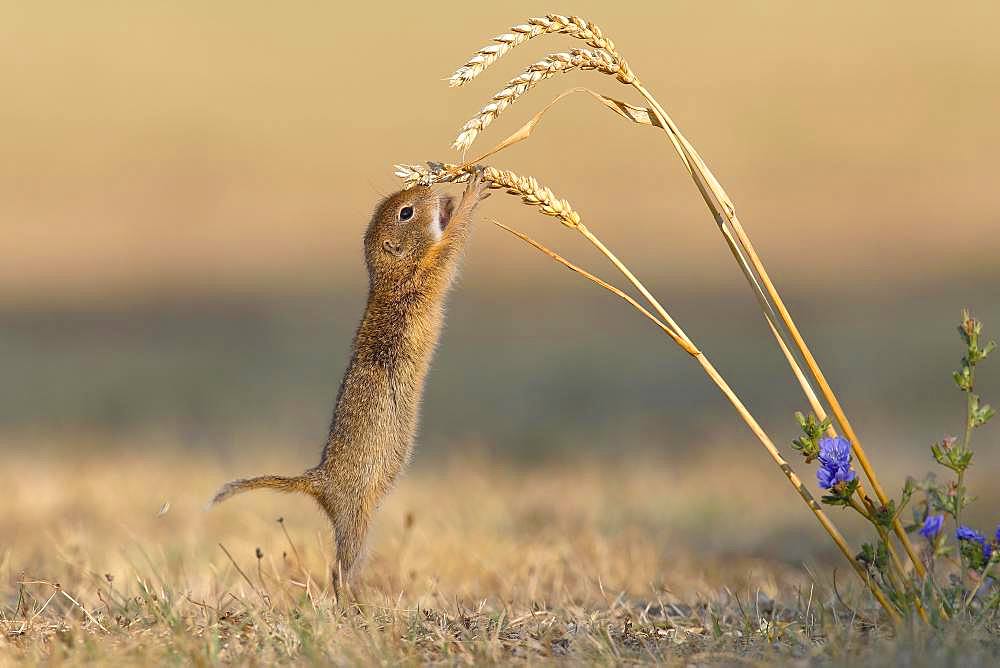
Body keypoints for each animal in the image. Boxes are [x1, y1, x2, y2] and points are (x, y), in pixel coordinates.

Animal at [213, 171, 486, 588]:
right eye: (406, 212)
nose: (429, 188)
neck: (389, 274)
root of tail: (316, 481)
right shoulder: (425, 273)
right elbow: (451, 247)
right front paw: (471, 193)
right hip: (357, 516)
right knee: (342, 565)